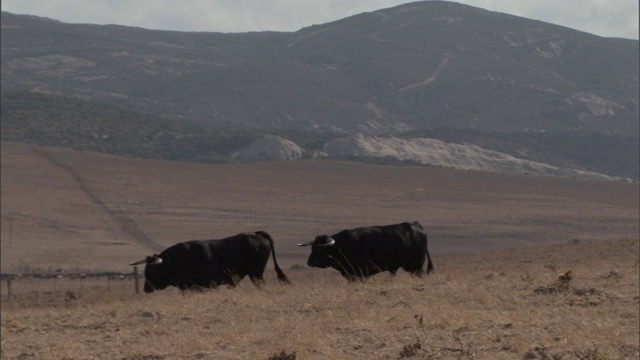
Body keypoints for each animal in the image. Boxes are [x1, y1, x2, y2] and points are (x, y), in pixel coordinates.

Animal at [300, 221, 436, 280]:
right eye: (312, 248)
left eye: (320, 250)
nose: (309, 262)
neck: (342, 245)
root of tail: (416, 226)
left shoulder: (361, 274)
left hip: (415, 266)